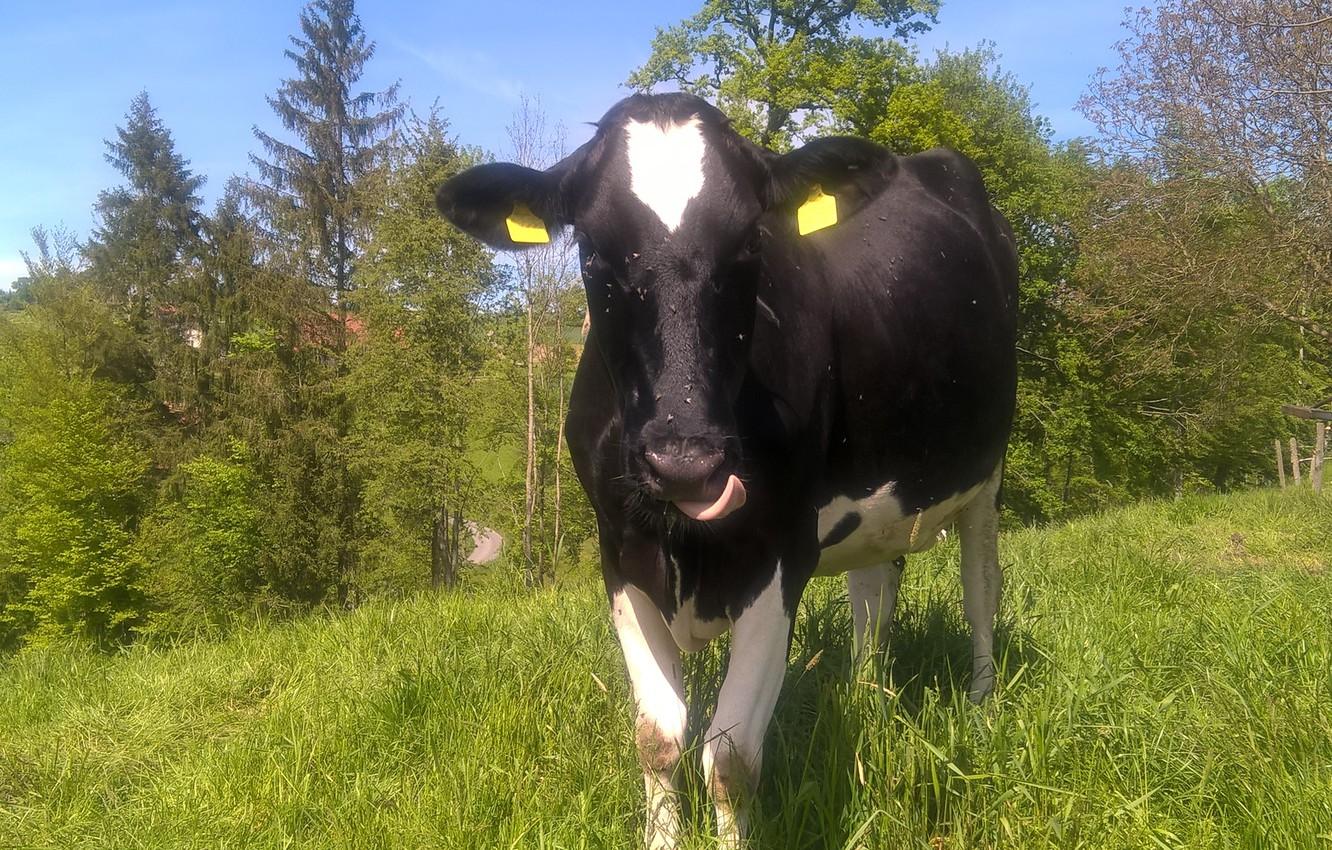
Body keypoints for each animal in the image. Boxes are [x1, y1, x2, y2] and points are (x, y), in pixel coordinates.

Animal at [436, 92, 1017, 849]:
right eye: (591, 248)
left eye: (751, 242)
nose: (686, 460)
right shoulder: (620, 555)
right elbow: (658, 737)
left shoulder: (780, 555)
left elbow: (731, 756)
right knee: (873, 597)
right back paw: (868, 703)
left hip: (987, 470)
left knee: (981, 590)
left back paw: (980, 707)